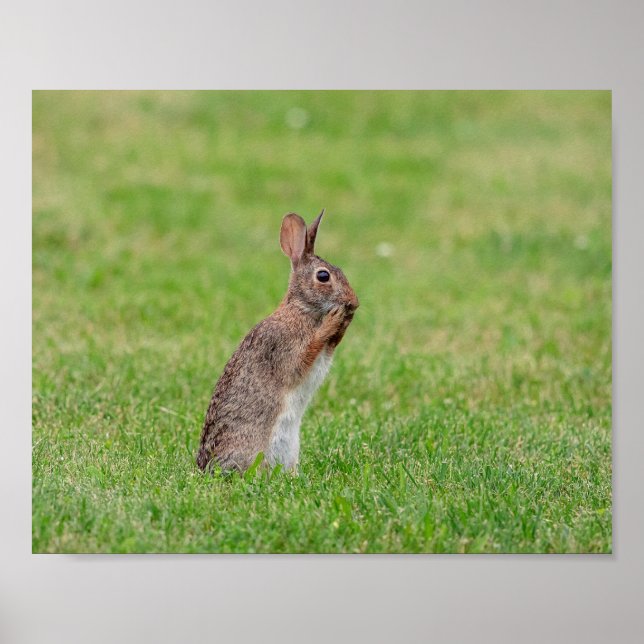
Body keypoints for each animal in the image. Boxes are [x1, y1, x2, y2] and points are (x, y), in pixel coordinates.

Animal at [196, 210, 359, 474]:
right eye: (323, 276)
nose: (354, 302)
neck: (301, 309)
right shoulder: (284, 347)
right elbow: (305, 357)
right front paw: (334, 319)